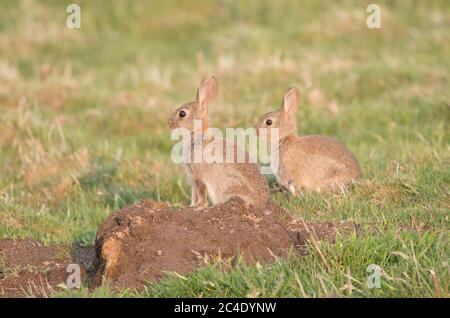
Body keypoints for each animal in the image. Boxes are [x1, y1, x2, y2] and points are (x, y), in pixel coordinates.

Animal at [168, 76, 268, 210]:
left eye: (182, 113)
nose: (169, 123)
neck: (198, 135)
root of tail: (260, 206)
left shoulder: (199, 176)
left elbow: (200, 193)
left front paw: (199, 207)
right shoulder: (193, 178)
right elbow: (194, 193)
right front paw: (190, 206)